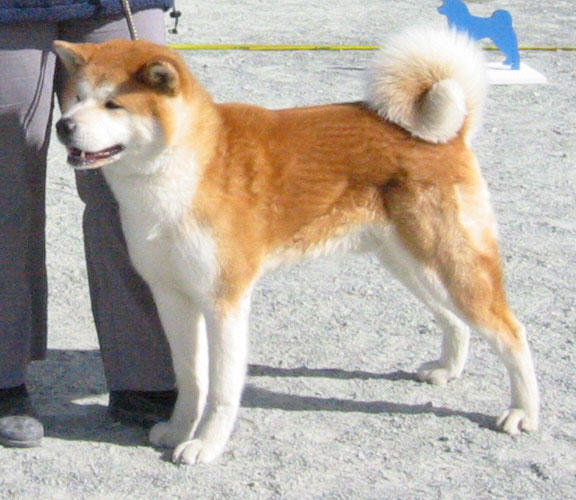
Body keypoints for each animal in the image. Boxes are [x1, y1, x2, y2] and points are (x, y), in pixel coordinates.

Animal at [54, 26, 539, 464]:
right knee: (455, 321)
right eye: (76, 98)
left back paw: (522, 412)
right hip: (412, 264)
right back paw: (446, 370)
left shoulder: (224, 302)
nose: (63, 126)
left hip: (450, 264)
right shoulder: (172, 297)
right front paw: (177, 429)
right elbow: (191, 377)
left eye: (113, 104)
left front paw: (206, 445)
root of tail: (448, 133)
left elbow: (222, 389)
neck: (183, 166)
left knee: (511, 332)